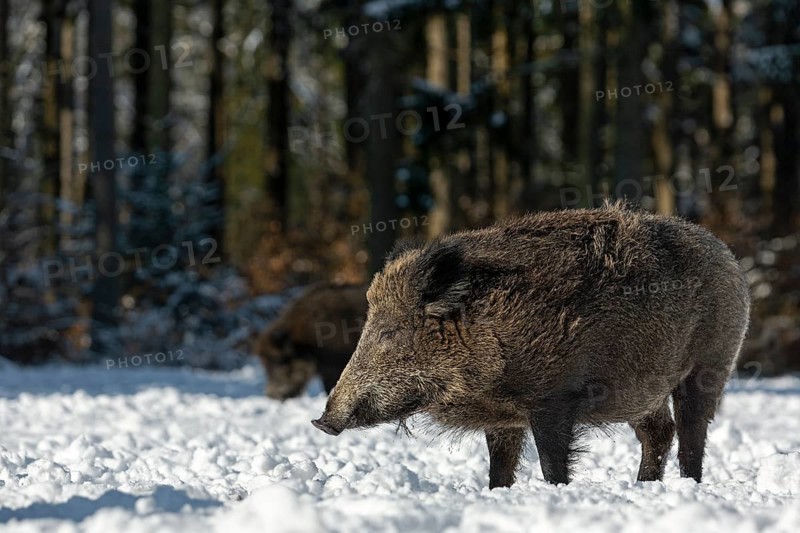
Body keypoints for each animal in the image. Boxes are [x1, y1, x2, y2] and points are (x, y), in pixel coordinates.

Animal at [312, 202, 751, 488]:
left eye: (389, 333)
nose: (322, 421)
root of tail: (726, 253)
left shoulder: (553, 399)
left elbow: (551, 464)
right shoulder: (502, 417)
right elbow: (499, 468)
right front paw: (497, 494)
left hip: (711, 362)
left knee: (692, 430)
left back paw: (687, 487)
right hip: (641, 389)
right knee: (659, 432)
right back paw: (644, 488)